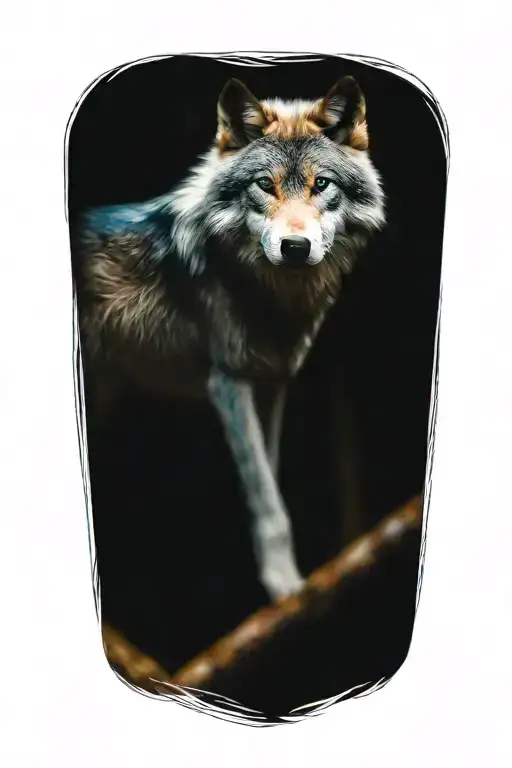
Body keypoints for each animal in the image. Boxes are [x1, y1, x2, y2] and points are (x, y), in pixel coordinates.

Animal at [71, 74, 386, 602]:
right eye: (265, 184)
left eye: (322, 184)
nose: (295, 247)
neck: (276, 300)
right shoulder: (228, 381)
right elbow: (267, 501)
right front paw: (284, 585)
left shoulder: (271, 384)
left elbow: (270, 484)